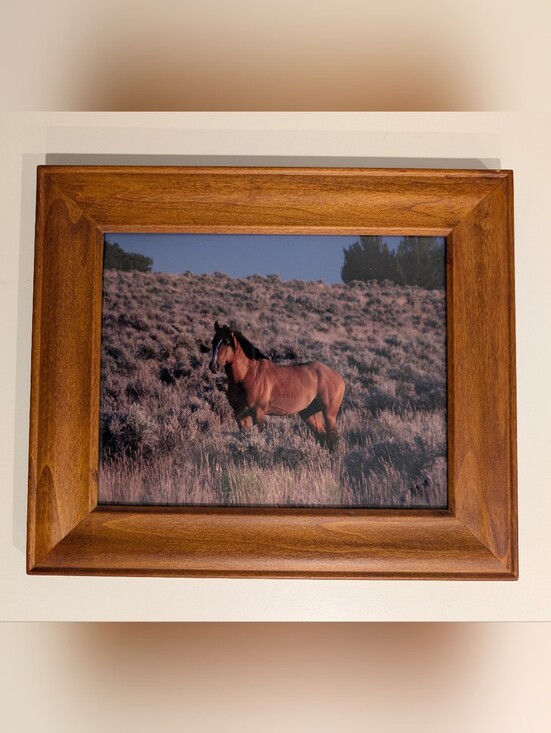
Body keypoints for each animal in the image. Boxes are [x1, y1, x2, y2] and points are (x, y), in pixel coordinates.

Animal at [209, 321, 345, 450]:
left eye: (227, 343)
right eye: (213, 342)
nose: (213, 366)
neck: (247, 375)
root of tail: (339, 377)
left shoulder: (258, 415)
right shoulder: (240, 416)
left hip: (329, 414)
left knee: (333, 439)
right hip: (310, 414)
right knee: (323, 437)